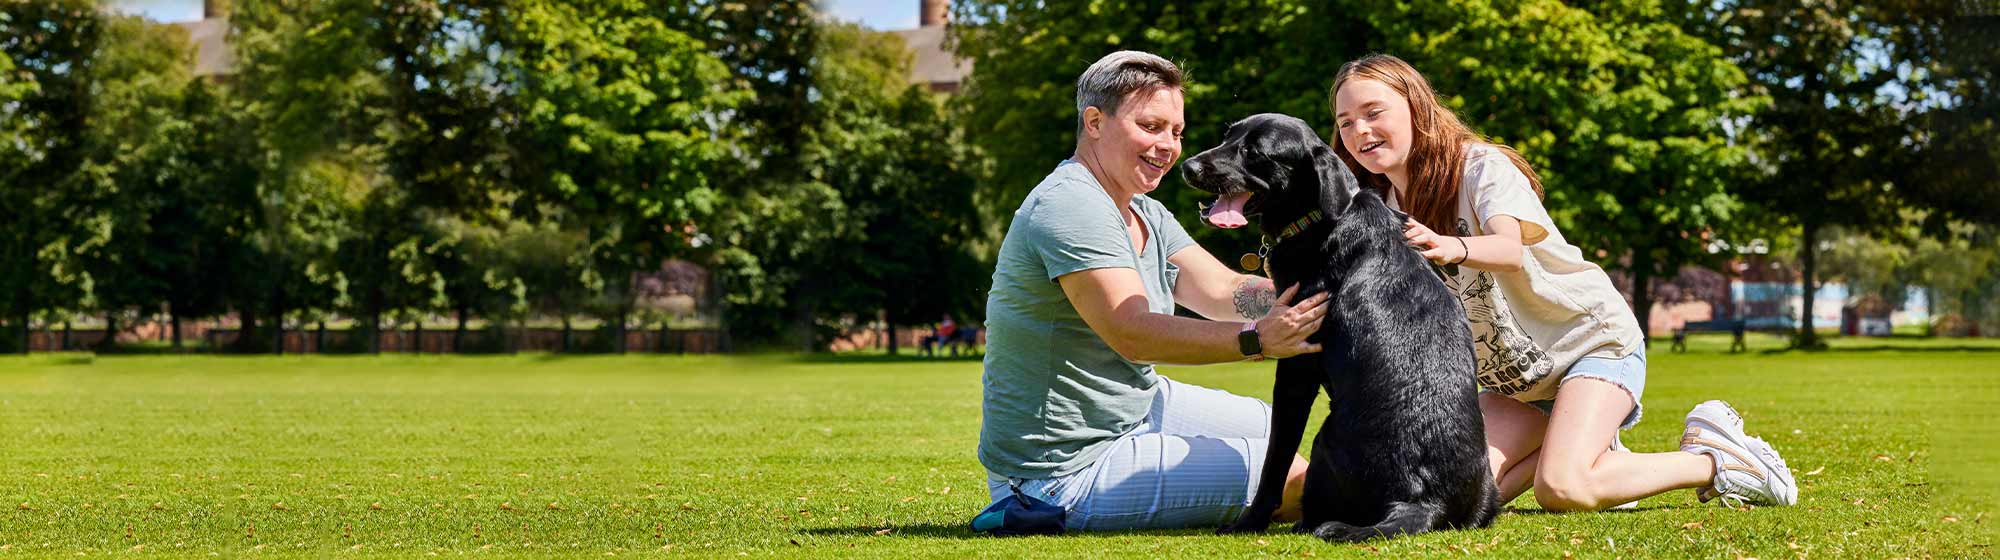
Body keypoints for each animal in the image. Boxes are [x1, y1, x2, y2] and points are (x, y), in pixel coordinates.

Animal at [1181, 113, 1497, 542]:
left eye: (1255, 152)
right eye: (1230, 135)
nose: (1188, 166)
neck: (1321, 219)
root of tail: (1422, 502)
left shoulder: (1296, 366)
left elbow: (1275, 458)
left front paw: (1248, 521)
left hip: (1323, 440)